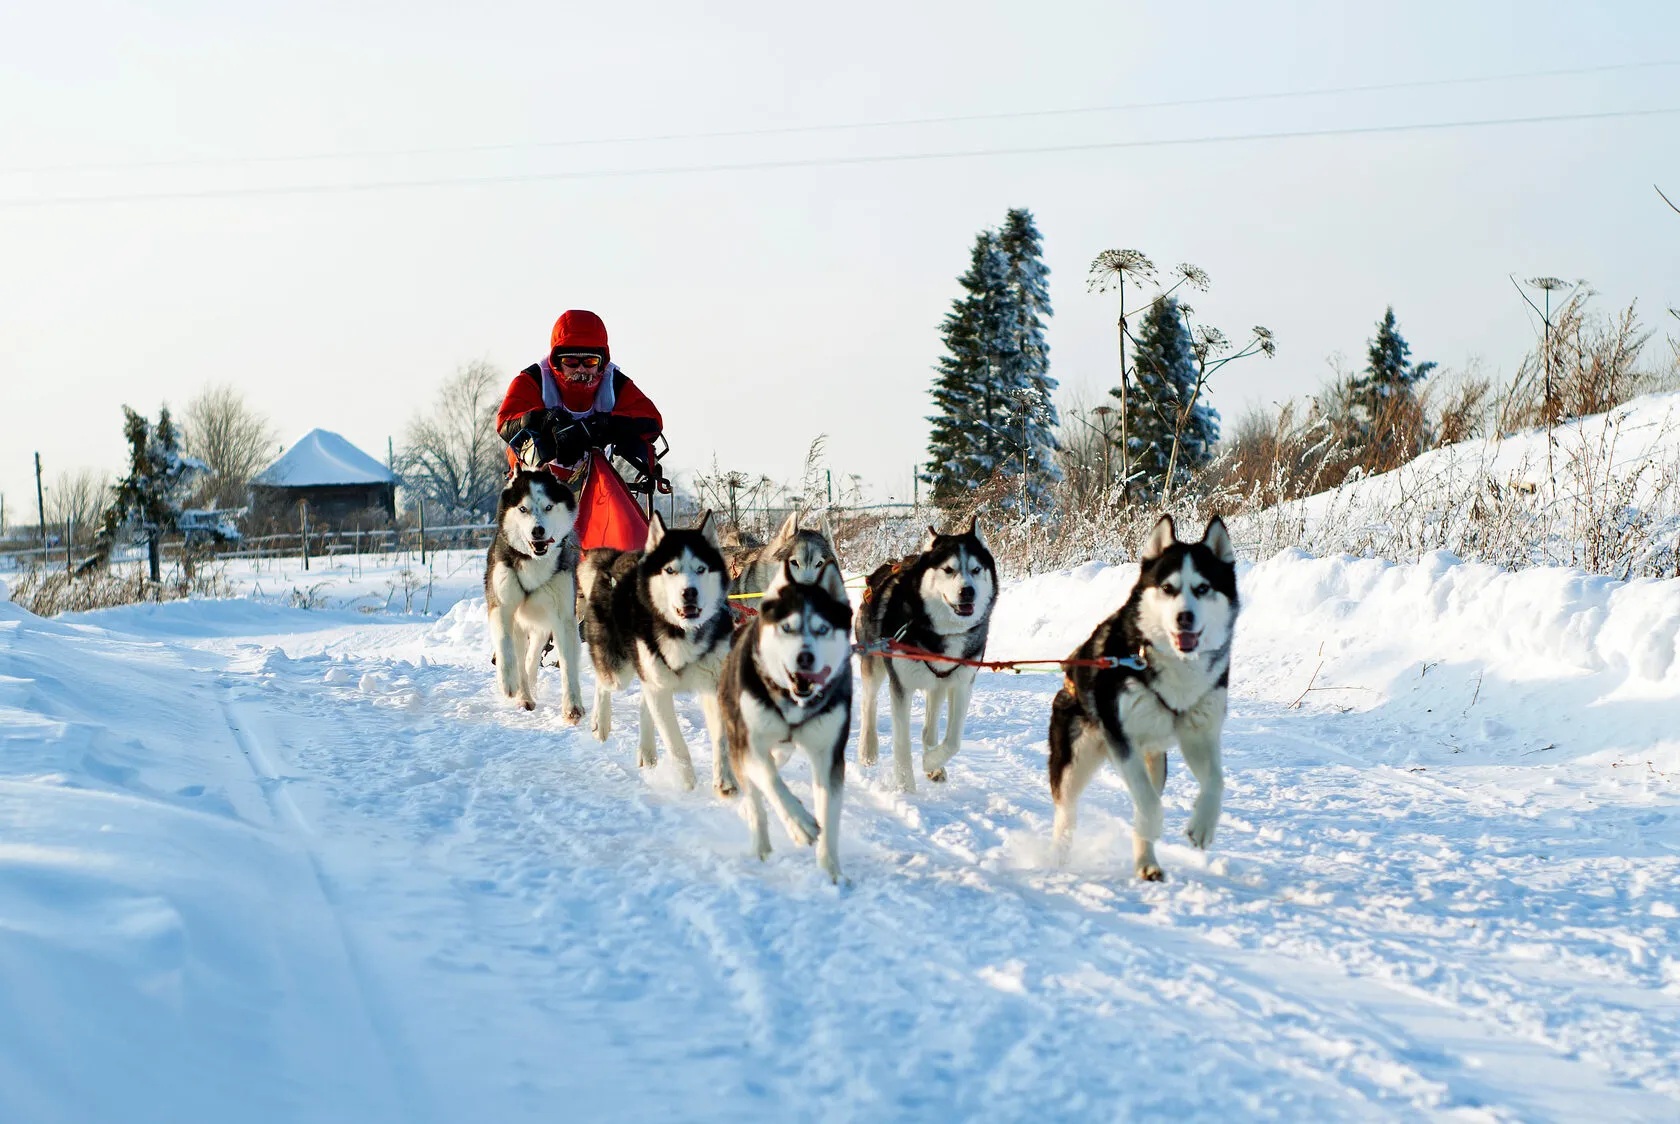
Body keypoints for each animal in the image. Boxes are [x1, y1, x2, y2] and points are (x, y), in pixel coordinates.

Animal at [487, 470, 584, 715]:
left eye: (548, 507)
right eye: (523, 509)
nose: (537, 530)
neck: (534, 561)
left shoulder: (563, 615)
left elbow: (567, 662)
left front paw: (572, 705)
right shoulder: (501, 606)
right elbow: (505, 643)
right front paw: (508, 681)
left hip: (542, 624)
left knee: (531, 658)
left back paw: (528, 689)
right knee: (520, 654)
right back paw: (522, 693)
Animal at [577, 514, 735, 793]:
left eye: (701, 569)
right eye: (670, 570)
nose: (689, 592)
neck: (682, 632)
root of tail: (614, 558)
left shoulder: (713, 685)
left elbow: (721, 739)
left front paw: (724, 780)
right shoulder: (658, 686)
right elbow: (676, 745)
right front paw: (687, 783)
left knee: (644, 701)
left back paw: (647, 750)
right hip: (619, 670)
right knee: (604, 682)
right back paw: (600, 721)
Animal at [719, 557, 853, 880]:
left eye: (823, 628)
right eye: (787, 627)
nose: (804, 658)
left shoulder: (829, 755)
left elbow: (829, 812)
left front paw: (831, 872)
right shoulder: (748, 742)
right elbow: (769, 779)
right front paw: (799, 824)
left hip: (783, 747)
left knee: (775, 760)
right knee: (756, 796)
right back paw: (761, 846)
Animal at [853, 517, 994, 789]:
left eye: (976, 569)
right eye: (948, 570)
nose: (968, 591)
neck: (944, 632)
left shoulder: (962, 683)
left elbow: (953, 740)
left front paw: (930, 762)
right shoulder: (901, 686)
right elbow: (901, 742)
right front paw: (905, 786)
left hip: (938, 684)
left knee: (930, 727)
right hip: (873, 662)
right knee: (869, 704)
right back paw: (867, 750)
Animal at [1041, 514, 1243, 880]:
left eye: (1202, 588)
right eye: (1168, 588)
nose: (1184, 617)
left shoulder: (1199, 736)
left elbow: (1216, 782)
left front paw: (1203, 824)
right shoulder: (1122, 740)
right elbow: (1148, 804)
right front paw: (1152, 824)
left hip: (1155, 759)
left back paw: (1147, 862)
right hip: (1076, 757)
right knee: (1067, 811)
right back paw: (1059, 858)